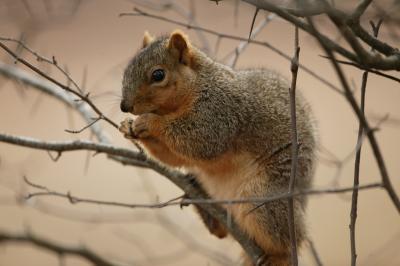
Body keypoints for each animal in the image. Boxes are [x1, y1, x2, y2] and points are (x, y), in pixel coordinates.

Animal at [119, 30, 316, 264]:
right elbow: (175, 158)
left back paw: (275, 256)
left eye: (158, 75)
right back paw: (199, 202)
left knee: (286, 240)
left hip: (263, 197)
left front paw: (149, 122)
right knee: (221, 232)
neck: (199, 83)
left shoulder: (219, 113)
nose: (124, 106)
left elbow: (199, 140)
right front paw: (128, 126)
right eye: (127, 69)